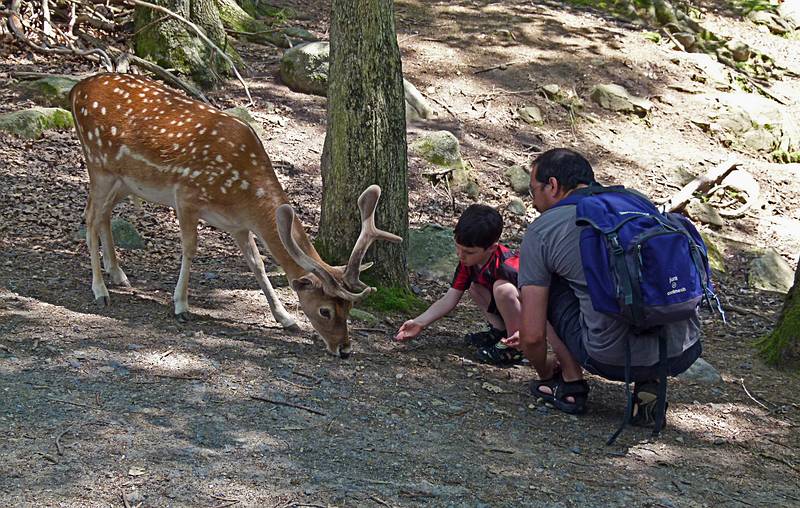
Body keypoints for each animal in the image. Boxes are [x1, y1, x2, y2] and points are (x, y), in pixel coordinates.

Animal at [69, 72, 400, 358]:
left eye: (348, 310)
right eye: (325, 310)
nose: (344, 349)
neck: (243, 194)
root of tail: (76, 89)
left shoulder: (239, 225)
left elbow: (258, 264)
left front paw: (285, 318)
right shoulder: (186, 196)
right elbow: (190, 249)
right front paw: (181, 306)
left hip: (123, 180)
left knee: (101, 214)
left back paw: (118, 274)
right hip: (99, 163)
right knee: (90, 215)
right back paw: (100, 289)